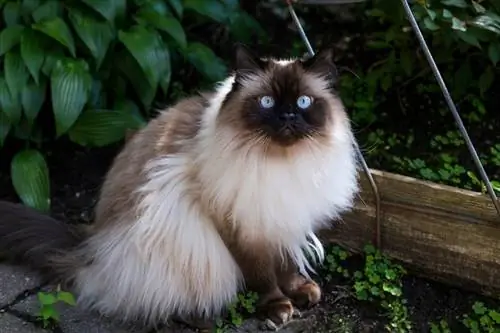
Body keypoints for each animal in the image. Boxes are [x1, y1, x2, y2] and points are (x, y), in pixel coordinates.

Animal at [0, 44, 360, 330]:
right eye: (267, 102)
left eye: (303, 102)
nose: (287, 116)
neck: (281, 163)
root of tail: (87, 245)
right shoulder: (243, 225)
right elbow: (263, 275)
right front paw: (278, 307)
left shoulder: (282, 218)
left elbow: (285, 266)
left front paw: (300, 291)